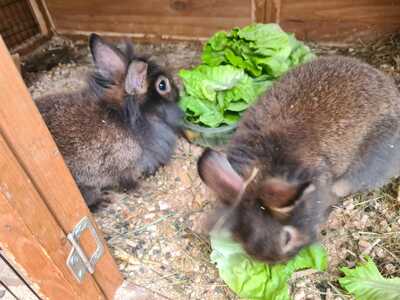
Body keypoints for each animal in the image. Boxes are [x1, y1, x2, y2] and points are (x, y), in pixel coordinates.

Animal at [35, 32, 182, 206]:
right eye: (162, 85)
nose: (178, 95)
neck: (128, 118)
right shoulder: (123, 167)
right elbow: (127, 182)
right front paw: (142, 188)